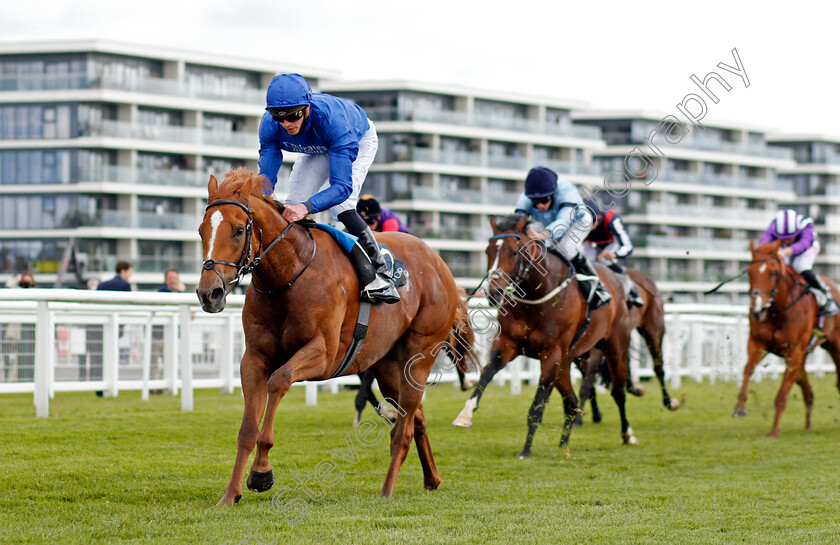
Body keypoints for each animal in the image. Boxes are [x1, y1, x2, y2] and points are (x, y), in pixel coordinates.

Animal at [194, 168, 476, 504]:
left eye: (238, 230)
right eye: (201, 231)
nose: (209, 293)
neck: (288, 274)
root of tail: (439, 262)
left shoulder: (324, 354)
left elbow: (279, 381)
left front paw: (261, 472)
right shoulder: (254, 358)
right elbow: (248, 429)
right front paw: (231, 494)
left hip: (420, 354)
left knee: (403, 429)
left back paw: (387, 490)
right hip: (388, 366)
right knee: (416, 416)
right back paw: (432, 477)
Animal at [452, 214, 636, 454]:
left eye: (514, 251)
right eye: (487, 251)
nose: (494, 293)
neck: (537, 296)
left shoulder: (551, 354)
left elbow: (537, 406)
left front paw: (526, 451)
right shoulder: (507, 345)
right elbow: (486, 375)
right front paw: (465, 415)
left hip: (614, 348)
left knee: (618, 392)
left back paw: (628, 434)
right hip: (569, 360)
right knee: (572, 403)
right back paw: (563, 445)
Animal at [576, 268, 680, 424]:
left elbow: (588, 381)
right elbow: (588, 381)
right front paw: (593, 414)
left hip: (653, 329)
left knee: (658, 367)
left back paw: (668, 401)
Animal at [732, 240, 840, 436]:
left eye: (773, 272)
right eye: (749, 271)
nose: (757, 309)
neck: (778, 310)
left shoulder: (794, 352)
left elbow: (782, 394)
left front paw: (774, 431)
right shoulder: (758, 343)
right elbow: (748, 369)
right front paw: (740, 407)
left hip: (835, 345)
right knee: (807, 389)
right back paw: (807, 425)